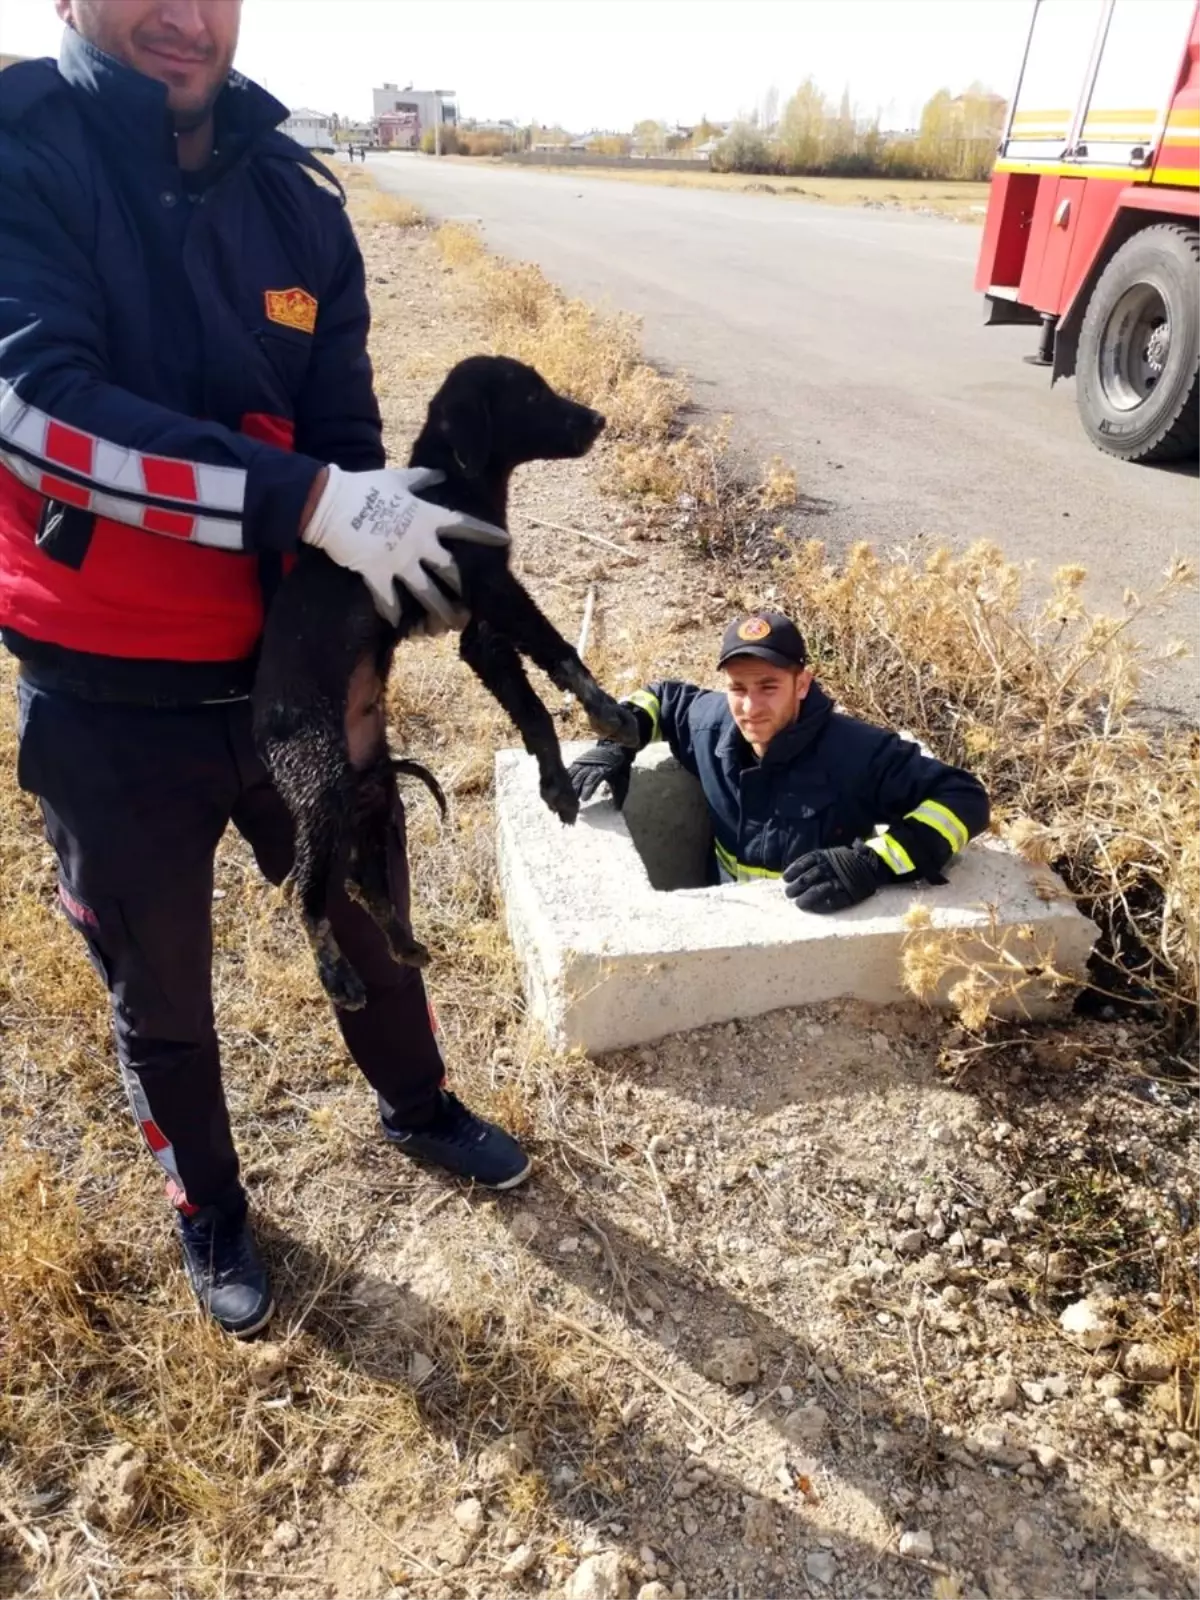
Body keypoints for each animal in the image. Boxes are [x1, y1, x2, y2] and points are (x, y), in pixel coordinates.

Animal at [256, 356, 640, 1004]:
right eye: (531, 395)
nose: (597, 419)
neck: (457, 487)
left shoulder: (480, 634)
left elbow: (532, 710)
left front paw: (558, 785)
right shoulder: (492, 588)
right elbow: (557, 650)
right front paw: (606, 711)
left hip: (371, 791)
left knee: (361, 879)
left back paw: (402, 943)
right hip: (319, 780)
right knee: (302, 888)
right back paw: (338, 975)